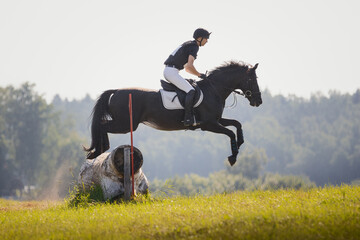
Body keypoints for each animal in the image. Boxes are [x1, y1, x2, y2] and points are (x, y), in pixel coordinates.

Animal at [86, 61, 262, 166]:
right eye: (252, 80)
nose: (258, 101)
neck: (214, 89)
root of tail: (116, 91)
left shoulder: (216, 120)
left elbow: (237, 124)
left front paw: (240, 143)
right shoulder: (209, 124)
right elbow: (230, 132)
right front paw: (233, 156)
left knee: (102, 125)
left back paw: (98, 151)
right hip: (125, 124)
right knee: (102, 125)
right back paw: (100, 150)